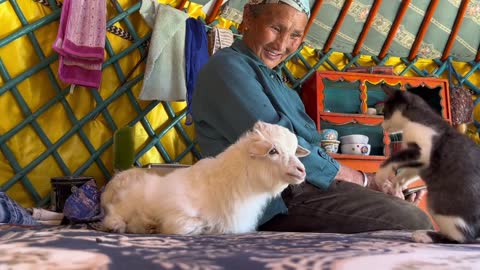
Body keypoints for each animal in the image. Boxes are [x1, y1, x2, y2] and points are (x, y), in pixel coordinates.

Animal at [101, 121, 312, 235]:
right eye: (273, 151)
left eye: (294, 151)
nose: (301, 171)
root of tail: (114, 183)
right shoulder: (178, 214)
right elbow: (191, 225)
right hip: (125, 203)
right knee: (113, 215)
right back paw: (121, 226)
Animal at [376, 85, 480, 245]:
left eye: (385, 113)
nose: (382, 126)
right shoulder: (420, 162)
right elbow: (409, 172)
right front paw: (398, 182)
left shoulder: (422, 151)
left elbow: (394, 158)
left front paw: (380, 174)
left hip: (440, 206)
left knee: (461, 238)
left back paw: (425, 235)